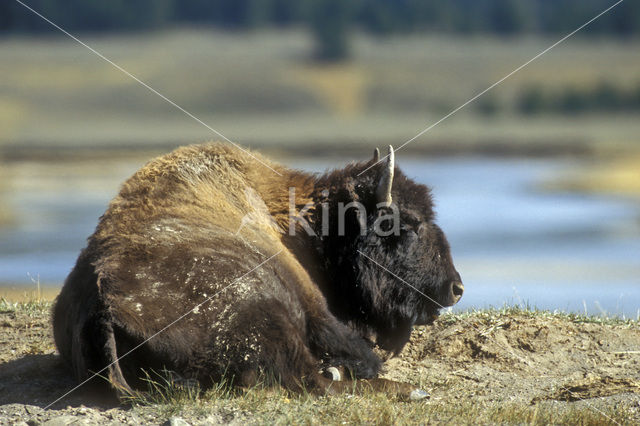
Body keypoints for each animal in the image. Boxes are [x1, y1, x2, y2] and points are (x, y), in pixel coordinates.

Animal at [52, 143, 462, 400]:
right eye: (409, 223)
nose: (456, 288)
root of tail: (104, 306)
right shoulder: (315, 309)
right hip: (273, 319)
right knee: (314, 382)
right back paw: (409, 390)